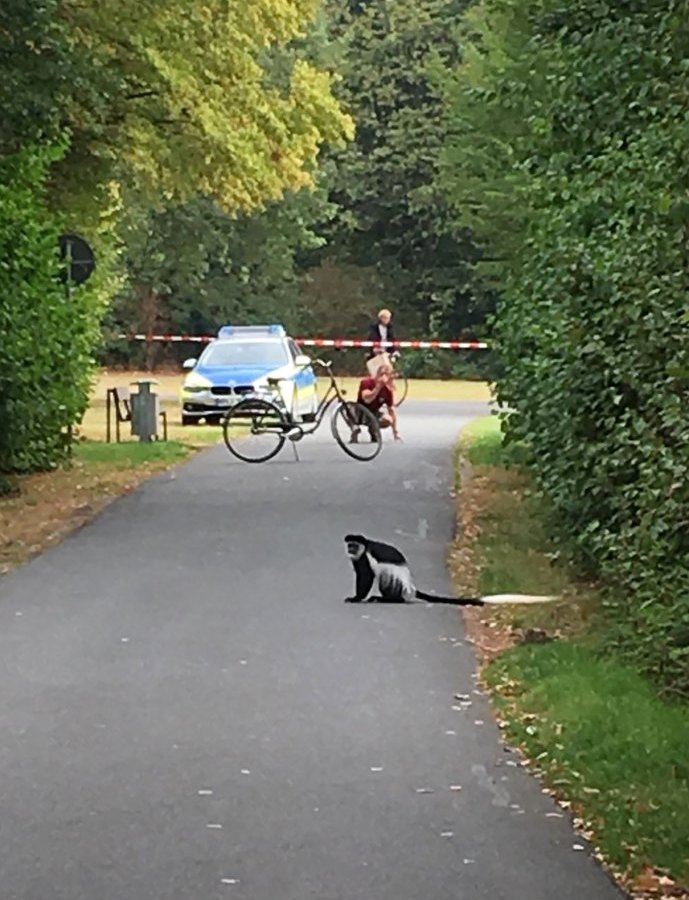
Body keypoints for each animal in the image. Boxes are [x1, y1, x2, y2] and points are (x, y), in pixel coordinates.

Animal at [344, 536, 560, 604]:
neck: (364, 547)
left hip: (394, 579)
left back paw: (386, 599)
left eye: (354, 545)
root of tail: (411, 585)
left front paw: (356, 598)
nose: (350, 550)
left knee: (386, 583)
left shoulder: (365, 558)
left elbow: (365, 577)